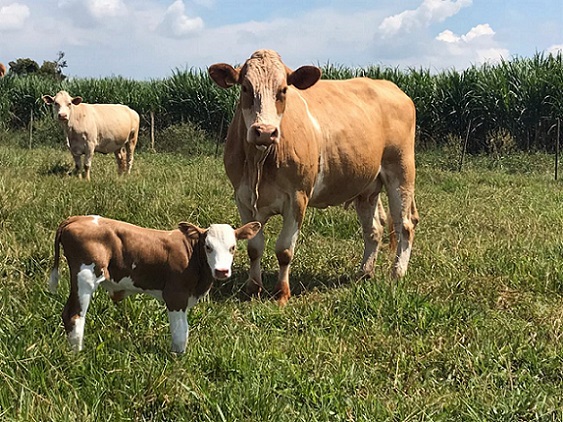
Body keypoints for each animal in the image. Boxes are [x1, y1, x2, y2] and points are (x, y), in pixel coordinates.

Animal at [49, 214, 262, 352]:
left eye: (232, 247)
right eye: (208, 246)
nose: (222, 271)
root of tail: (76, 218)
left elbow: (184, 330)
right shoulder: (175, 296)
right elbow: (179, 334)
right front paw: (177, 360)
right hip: (85, 275)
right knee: (74, 315)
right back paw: (78, 356)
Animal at [208, 50, 418, 306]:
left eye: (283, 90)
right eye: (246, 88)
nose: (265, 131)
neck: (260, 161)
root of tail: (390, 86)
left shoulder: (298, 197)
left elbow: (284, 250)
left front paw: (282, 293)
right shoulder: (243, 197)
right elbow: (254, 247)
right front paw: (253, 288)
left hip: (401, 170)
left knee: (404, 225)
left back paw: (397, 274)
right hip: (367, 186)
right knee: (374, 230)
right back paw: (364, 273)